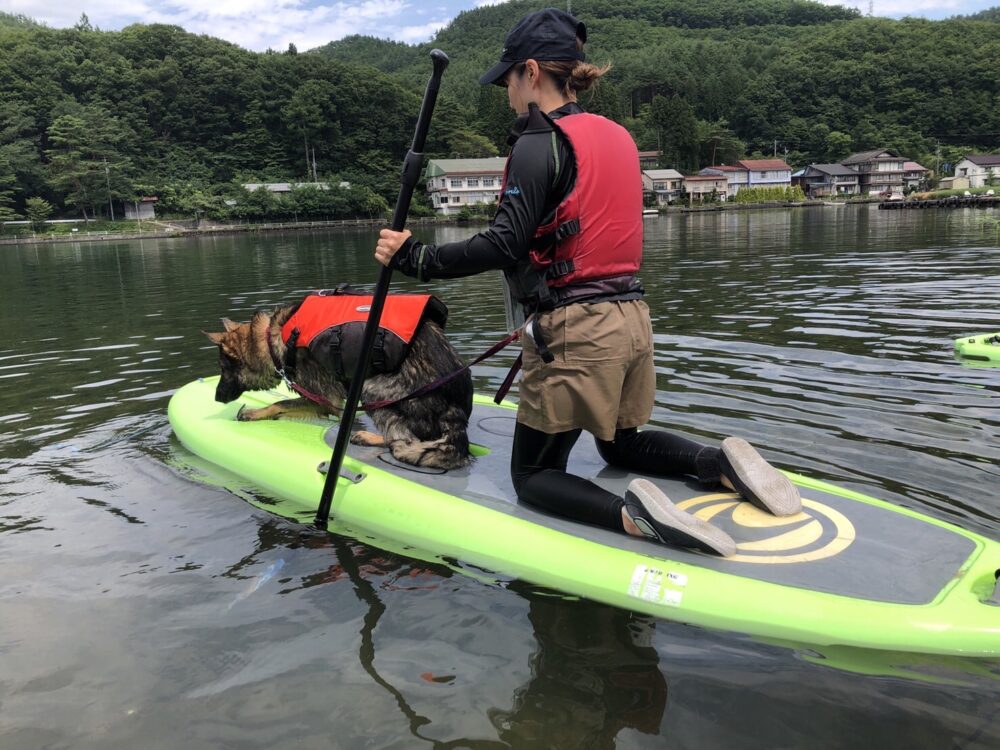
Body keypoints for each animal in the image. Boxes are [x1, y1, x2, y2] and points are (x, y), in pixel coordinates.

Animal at [205, 302, 474, 470]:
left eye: (224, 369)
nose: (216, 397)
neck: (270, 338)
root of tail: (456, 412)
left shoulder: (325, 399)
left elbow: (281, 402)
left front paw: (254, 413)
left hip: (372, 387)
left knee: (403, 440)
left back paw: (370, 437)